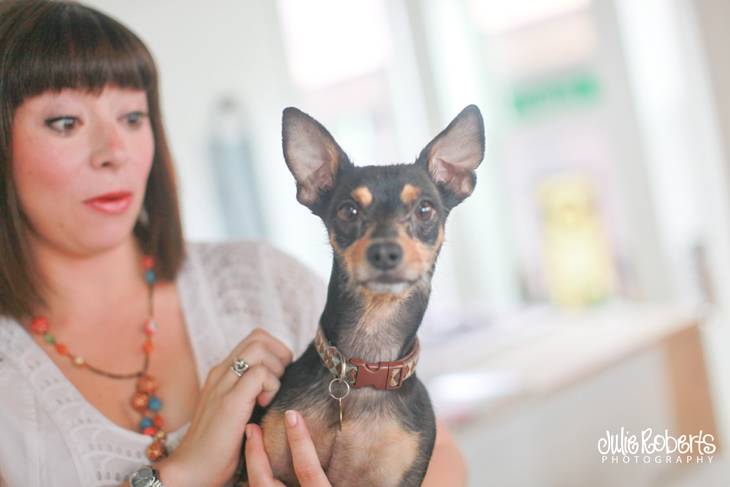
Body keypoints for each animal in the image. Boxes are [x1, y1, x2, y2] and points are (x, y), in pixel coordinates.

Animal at [235, 105, 484, 486]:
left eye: (425, 209)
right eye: (348, 210)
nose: (384, 252)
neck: (364, 369)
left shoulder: (395, 478)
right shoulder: (256, 468)